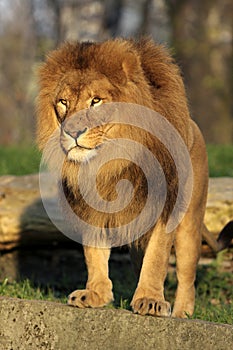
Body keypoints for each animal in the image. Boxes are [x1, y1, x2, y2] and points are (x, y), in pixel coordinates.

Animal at [36, 37, 233, 318]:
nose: (72, 132)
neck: (109, 161)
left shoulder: (163, 206)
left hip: (190, 222)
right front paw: (95, 294)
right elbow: (93, 254)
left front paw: (150, 301)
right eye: (63, 102)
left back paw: (181, 313)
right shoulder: (90, 209)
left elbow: (158, 257)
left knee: (187, 276)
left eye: (96, 101)